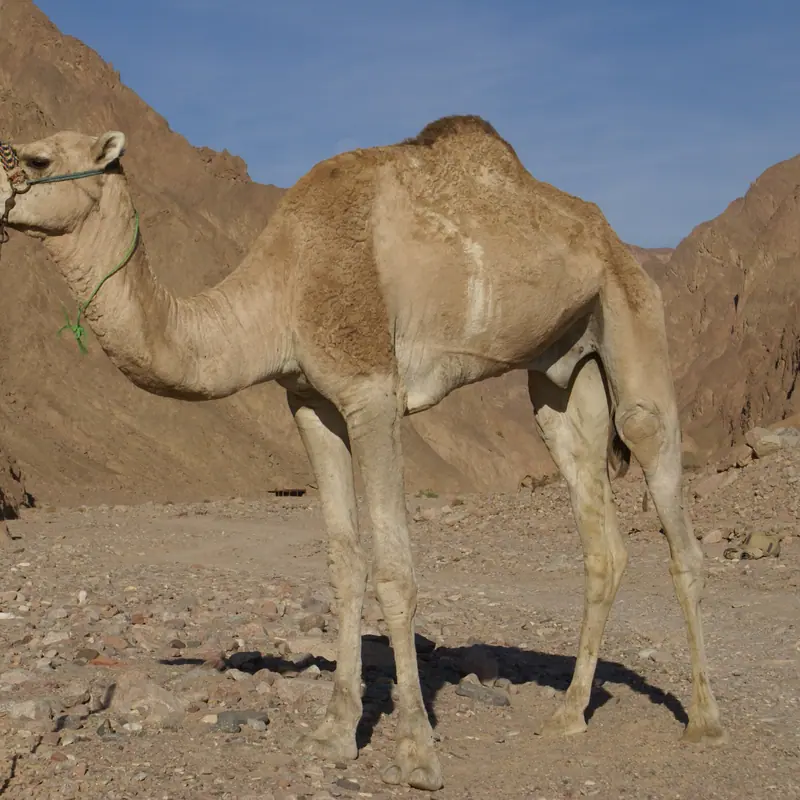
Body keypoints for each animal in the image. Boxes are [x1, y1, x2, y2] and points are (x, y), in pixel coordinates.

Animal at [0, 116, 726, 791]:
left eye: (37, 159)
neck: (283, 286)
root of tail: (616, 241)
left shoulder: (373, 391)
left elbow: (394, 570)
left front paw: (417, 753)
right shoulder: (309, 401)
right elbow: (344, 563)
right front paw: (333, 733)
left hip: (632, 316)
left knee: (668, 501)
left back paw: (705, 720)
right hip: (562, 371)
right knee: (599, 531)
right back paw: (569, 712)